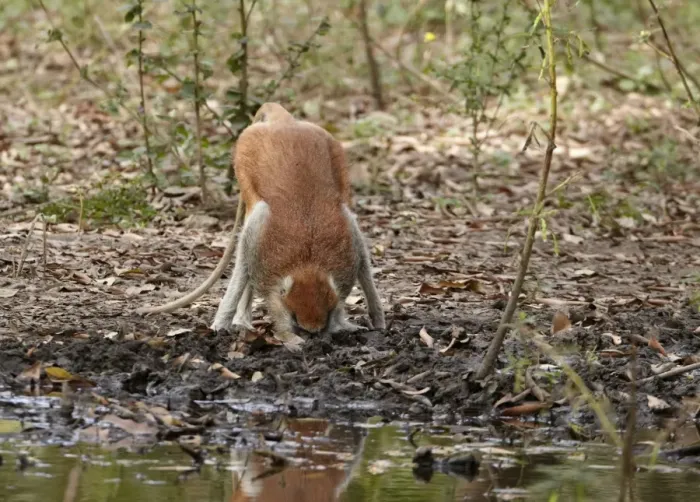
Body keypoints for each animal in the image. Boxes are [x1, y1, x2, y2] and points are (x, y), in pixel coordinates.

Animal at [138, 103, 386, 336]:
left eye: (326, 316)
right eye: (294, 318)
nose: (312, 335)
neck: (308, 263)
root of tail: (285, 122)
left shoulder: (348, 253)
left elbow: (357, 242)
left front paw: (355, 323)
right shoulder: (261, 246)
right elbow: (246, 251)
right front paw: (221, 324)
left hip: (334, 152)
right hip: (244, 156)